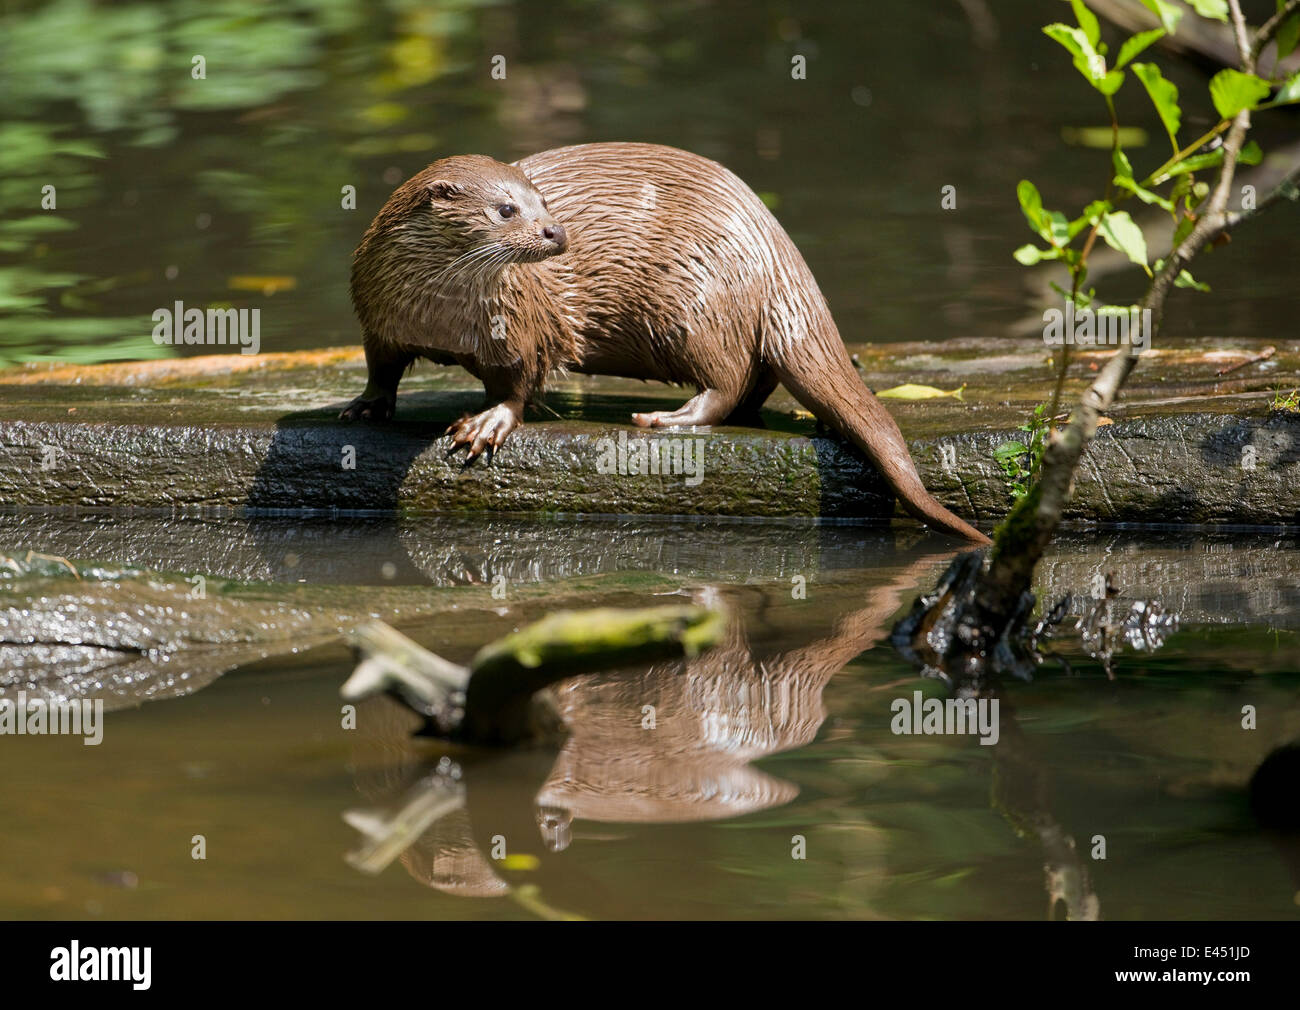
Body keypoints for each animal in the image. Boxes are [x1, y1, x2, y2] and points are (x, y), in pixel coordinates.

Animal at [340, 139, 987, 543]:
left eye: (542, 203)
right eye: (505, 209)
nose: (556, 232)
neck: (439, 315)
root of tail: (773, 246)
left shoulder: (520, 326)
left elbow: (519, 384)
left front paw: (487, 422)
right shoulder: (378, 317)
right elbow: (380, 366)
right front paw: (365, 405)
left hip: (696, 304)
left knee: (727, 381)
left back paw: (670, 419)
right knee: (757, 379)